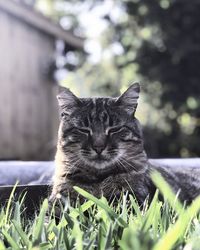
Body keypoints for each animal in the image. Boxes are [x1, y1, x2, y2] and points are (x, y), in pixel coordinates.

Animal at [49, 82, 200, 209]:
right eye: (84, 130)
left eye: (114, 129)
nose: (99, 147)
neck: (99, 180)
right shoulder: (59, 199)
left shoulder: (135, 199)